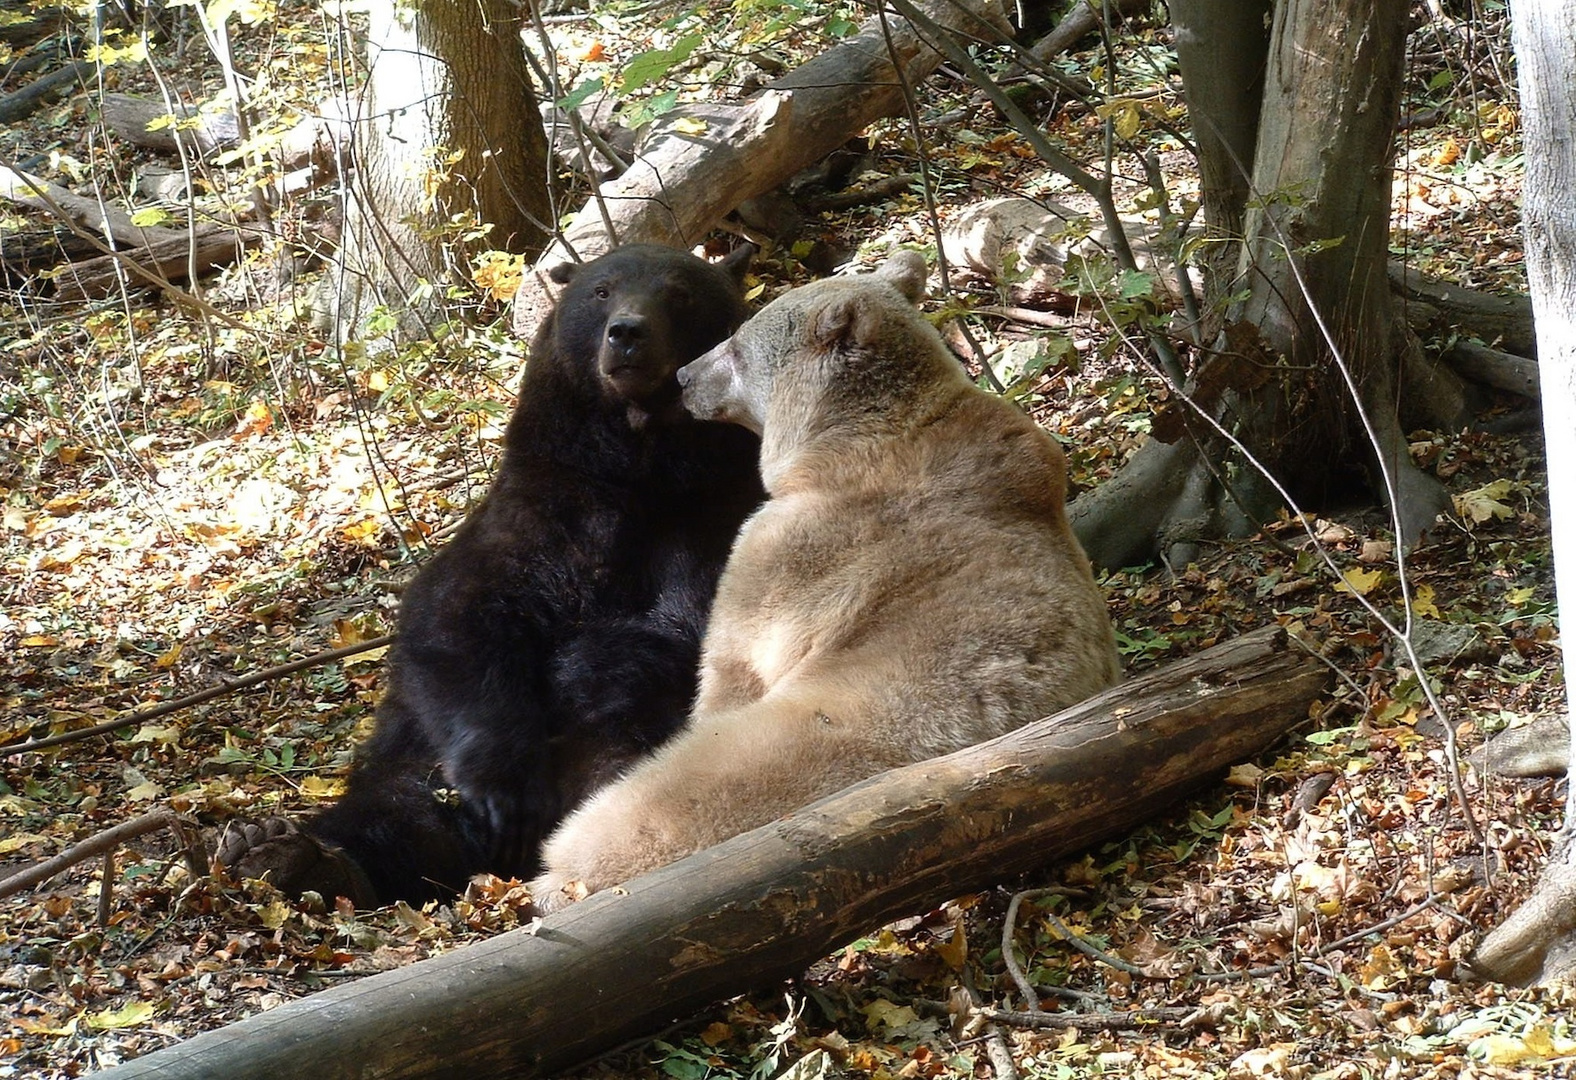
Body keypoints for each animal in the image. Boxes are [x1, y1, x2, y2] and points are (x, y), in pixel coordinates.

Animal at [217, 242, 762, 901]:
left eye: (680, 293)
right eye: (601, 289)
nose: (628, 333)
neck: (640, 469)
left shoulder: (712, 517)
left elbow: (680, 628)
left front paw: (589, 662)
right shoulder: (546, 512)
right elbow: (458, 617)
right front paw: (504, 791)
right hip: (418, 765)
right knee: (394, 807)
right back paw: (284, 850)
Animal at [529, 250, 1122, 908]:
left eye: (736, 347)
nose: (685, 376)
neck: (858, 442)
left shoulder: (795, 548)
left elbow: (733, 661)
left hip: (806, 743)